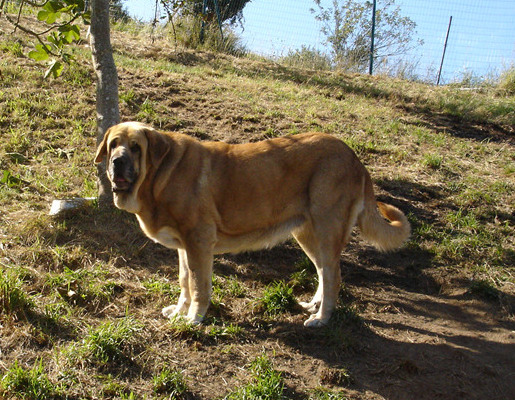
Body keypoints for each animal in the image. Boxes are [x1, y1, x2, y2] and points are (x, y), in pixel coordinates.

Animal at [95, 122, 412, 328]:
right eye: (113, 145)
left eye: (136, 147)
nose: (117, 162)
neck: (159, 175)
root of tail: (356, 159)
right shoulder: (184, 247)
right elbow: (185, 280)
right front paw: (179, 311)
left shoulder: (198, 242)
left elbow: (199, 286)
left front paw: (193, 318)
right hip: (307, 234)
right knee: (325, 271)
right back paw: (314, 305)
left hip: (325, 230)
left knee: (333, 275)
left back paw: (322, 318)